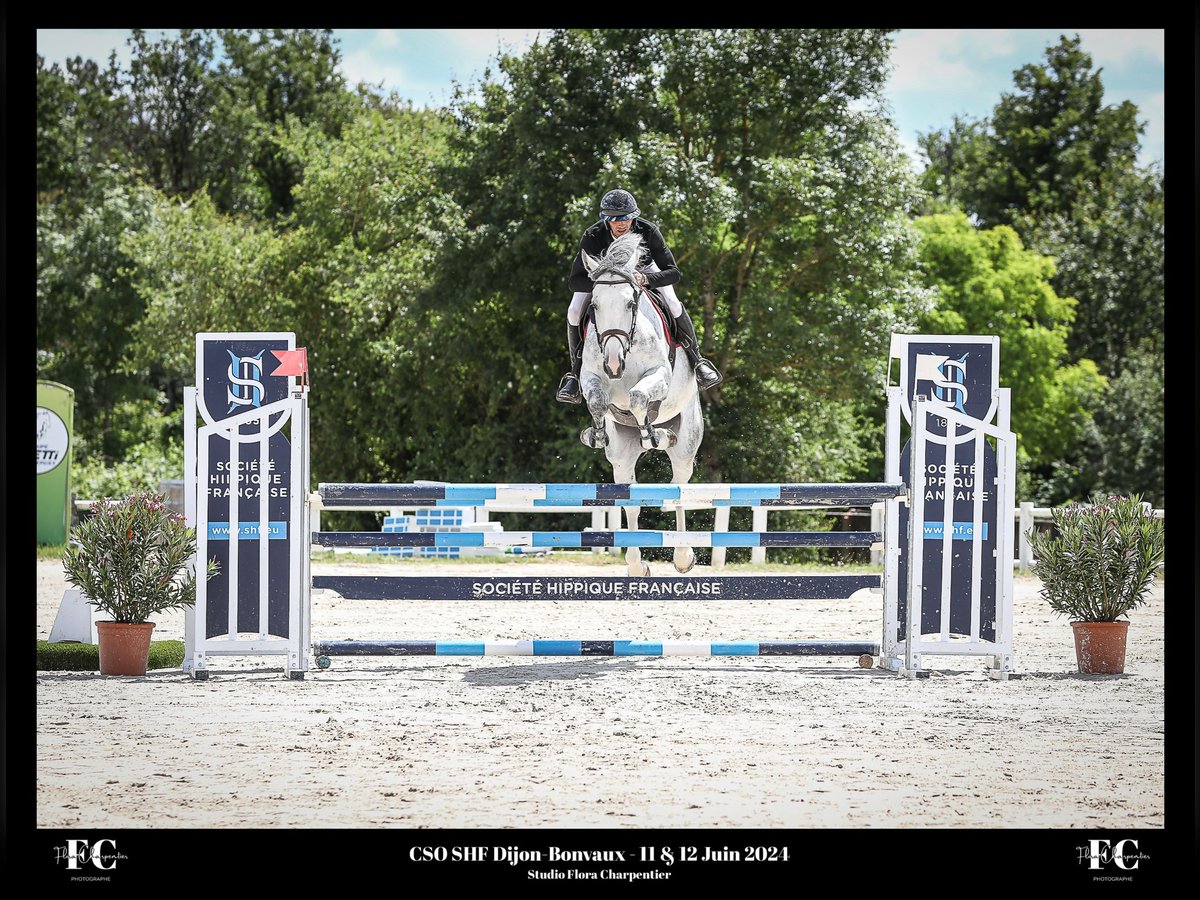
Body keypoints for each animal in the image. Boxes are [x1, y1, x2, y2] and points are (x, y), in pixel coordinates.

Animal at [573, 234, 700, 578]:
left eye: (631, 303)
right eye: (595, 306)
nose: (614, 363)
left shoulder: (658, 376)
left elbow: (638, 397)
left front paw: (652, 436)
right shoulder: (591, 377)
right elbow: (598, 400)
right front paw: (596, 434)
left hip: (687, 441)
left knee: (679, 487)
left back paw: (683, 557)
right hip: (621, 456)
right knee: (629, 497)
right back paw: (635, 564)